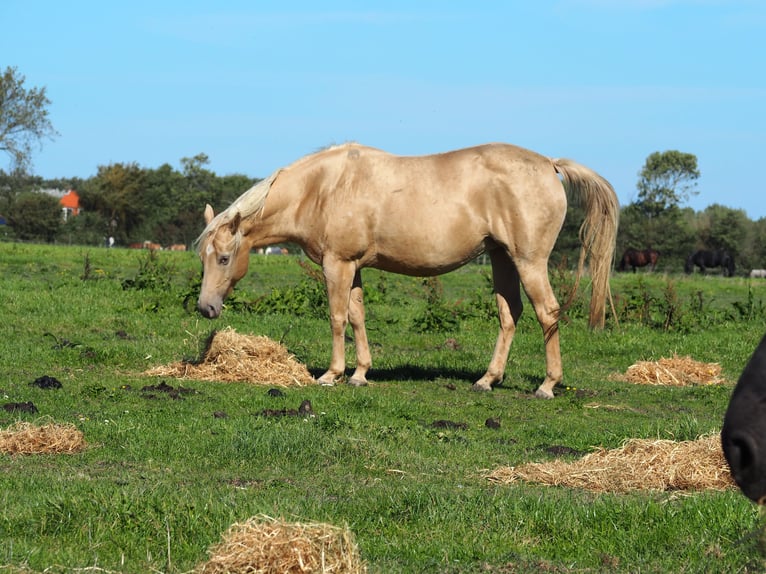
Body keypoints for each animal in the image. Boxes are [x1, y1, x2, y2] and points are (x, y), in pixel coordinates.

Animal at [195, 143, 620, 400]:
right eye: (203, 257)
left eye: (224, 258)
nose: (205, 308)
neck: (323, 189)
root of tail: (550, 164)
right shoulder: (354, 268)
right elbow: (357, 316)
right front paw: (360, 373)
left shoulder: (337, 265)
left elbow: (337, 318)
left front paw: (332, 374)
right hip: (502, 258)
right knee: (509, 314)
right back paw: (487, 379)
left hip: (528, 261)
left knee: (547, 312)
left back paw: (547, 385)